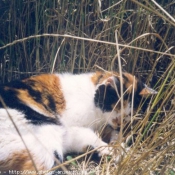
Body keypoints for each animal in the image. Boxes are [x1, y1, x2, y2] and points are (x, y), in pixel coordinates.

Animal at [0, 71, 157, 174]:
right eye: (116, 108)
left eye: (129, 115)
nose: (118, 123)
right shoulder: (76, 127)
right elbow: (96, 138)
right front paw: (119, 150)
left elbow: (112, 135)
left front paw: (118, 143)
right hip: (47, 137)